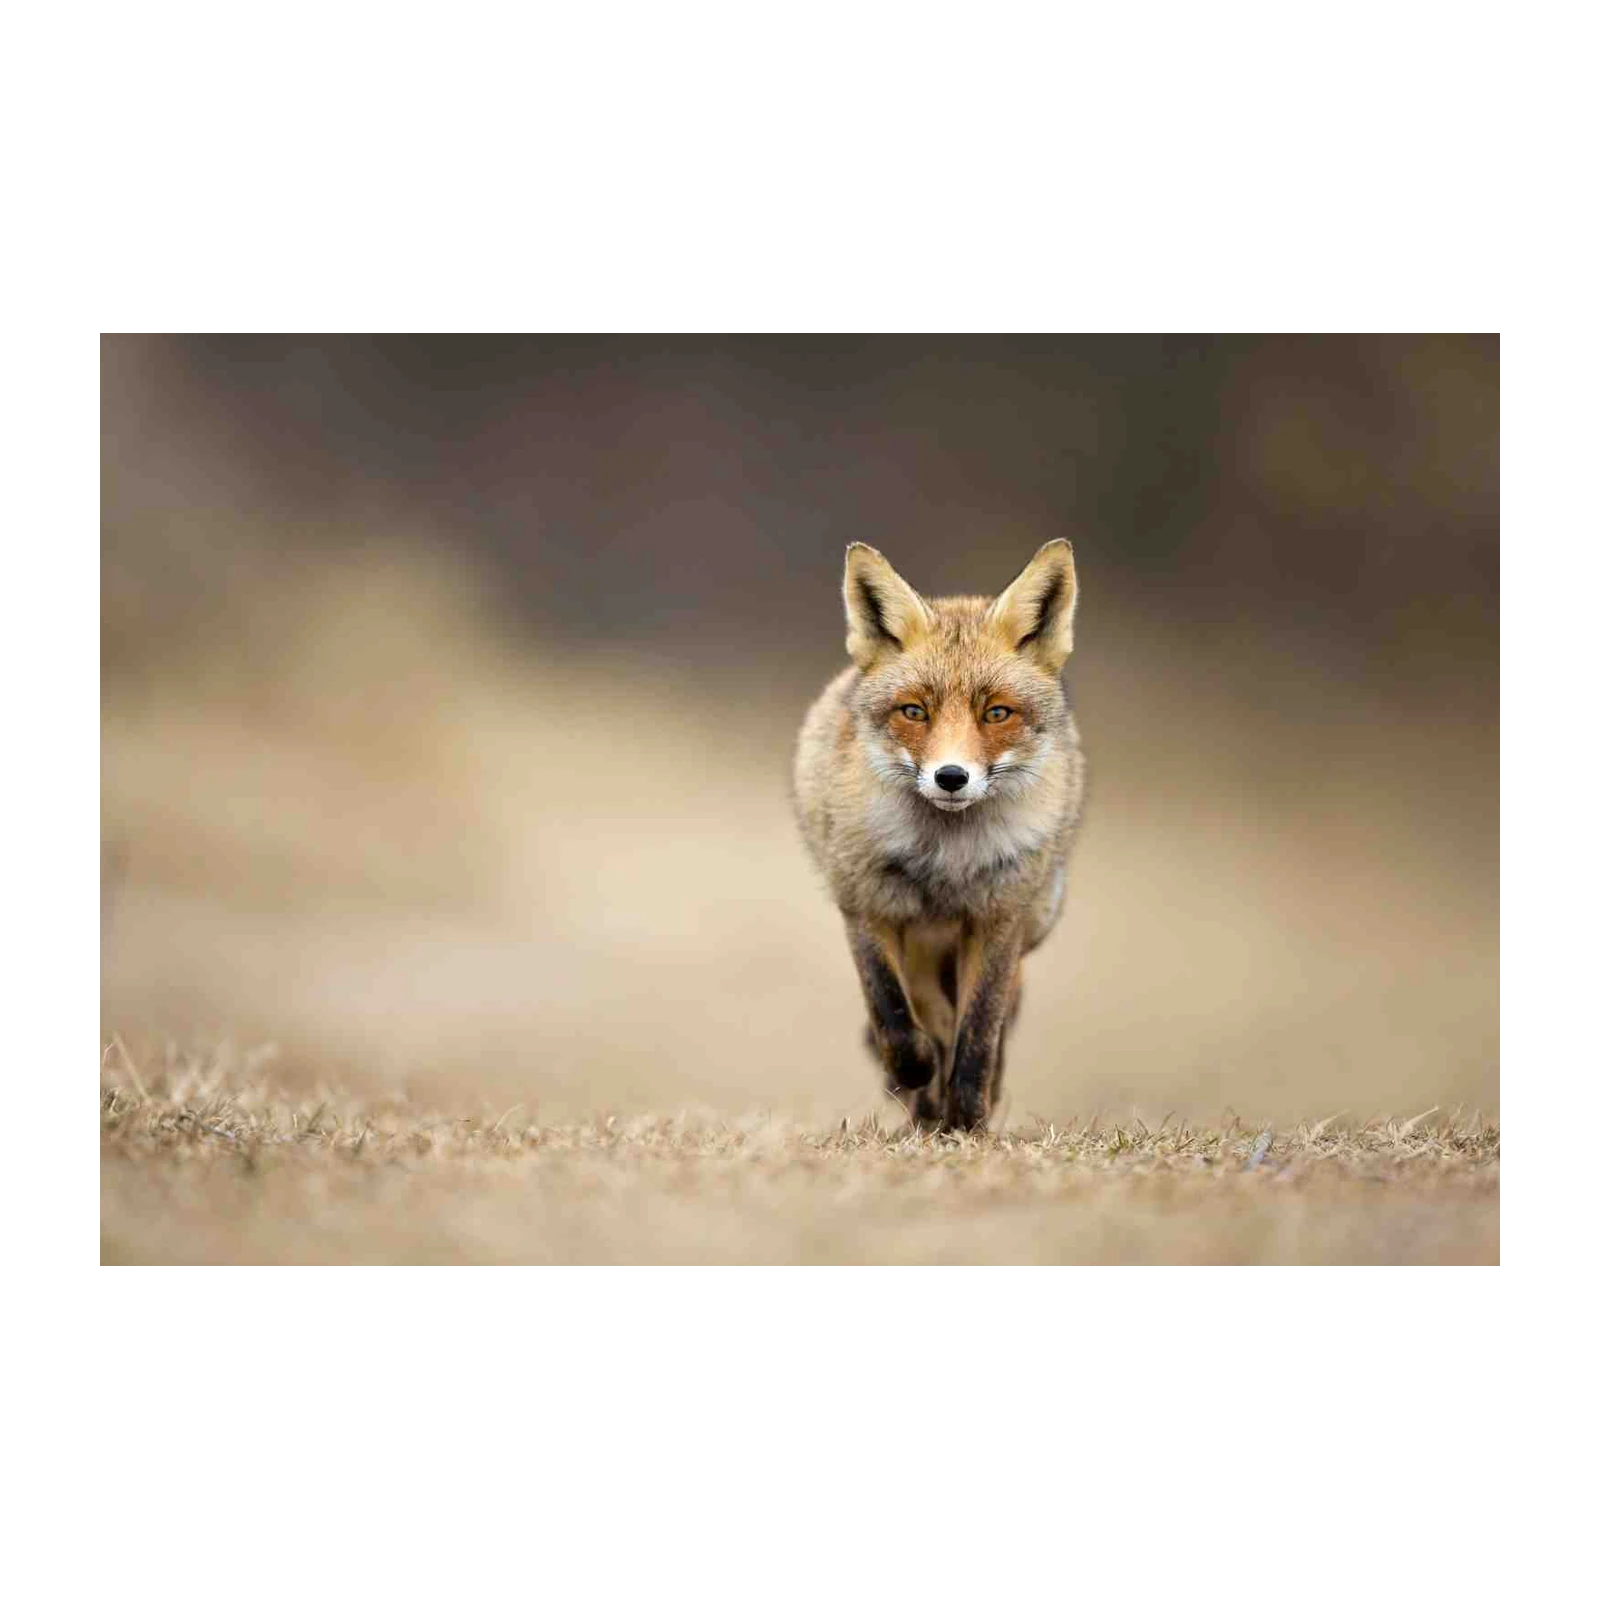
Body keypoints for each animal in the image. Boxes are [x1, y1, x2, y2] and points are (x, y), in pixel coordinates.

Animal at [794, 539, 1086, 1133]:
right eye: (914, 711)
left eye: (996, 713)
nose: (951, 777)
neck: (945, 859)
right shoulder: (867, 907)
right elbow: (892, 1016)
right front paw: (916, 1074)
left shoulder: (998, 919)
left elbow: (979, 1032)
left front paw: (970, 1120)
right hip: (921, 941)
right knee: (927, 1012)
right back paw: (923, 1102)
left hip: (1028, 921)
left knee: (988, 1018)